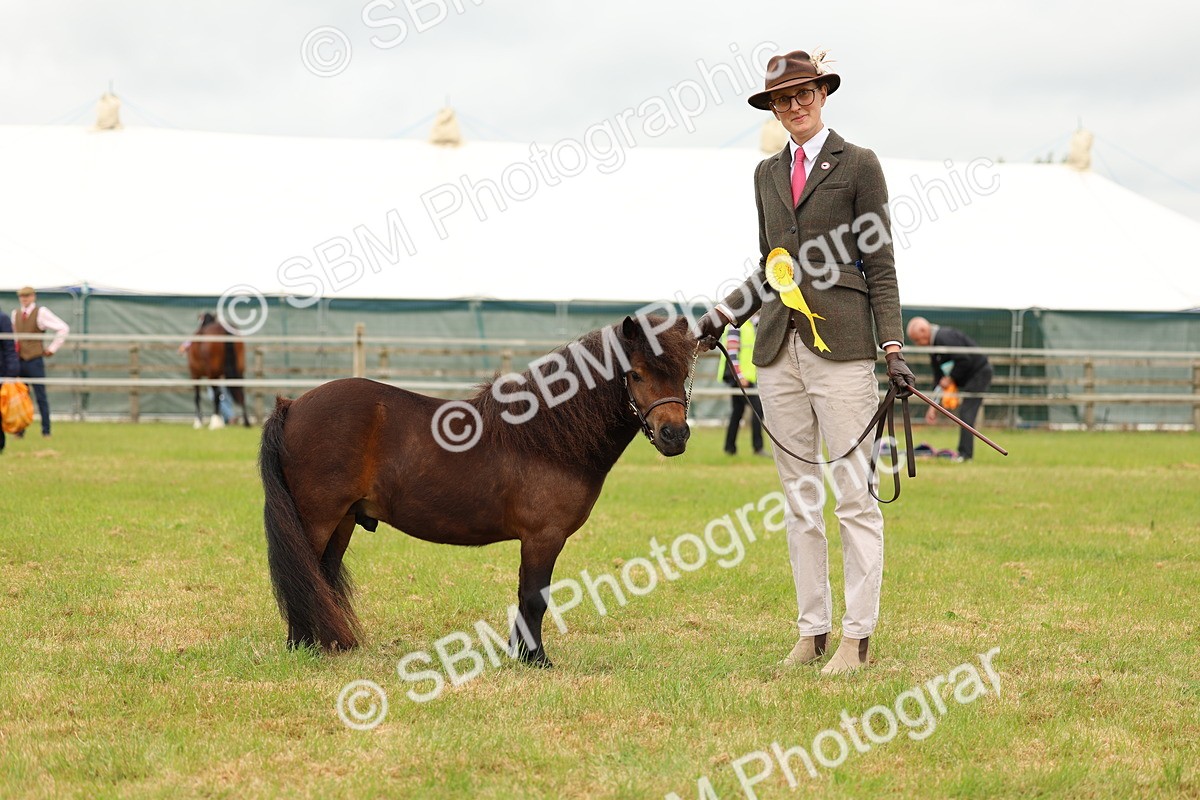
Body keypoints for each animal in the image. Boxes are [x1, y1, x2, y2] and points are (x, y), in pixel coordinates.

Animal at [260, 315, 697, 666]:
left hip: (344, 521)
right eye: (636, 374)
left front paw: (521, 653)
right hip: (318, 519)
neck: (546, 439)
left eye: (681, 373)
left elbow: (524, 595)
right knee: (304, 573)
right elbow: (535, 597)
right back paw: (303, 647)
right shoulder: (543, 537)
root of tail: (292, 405)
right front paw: (536, 660)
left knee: (321, 575)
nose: (674, 435)